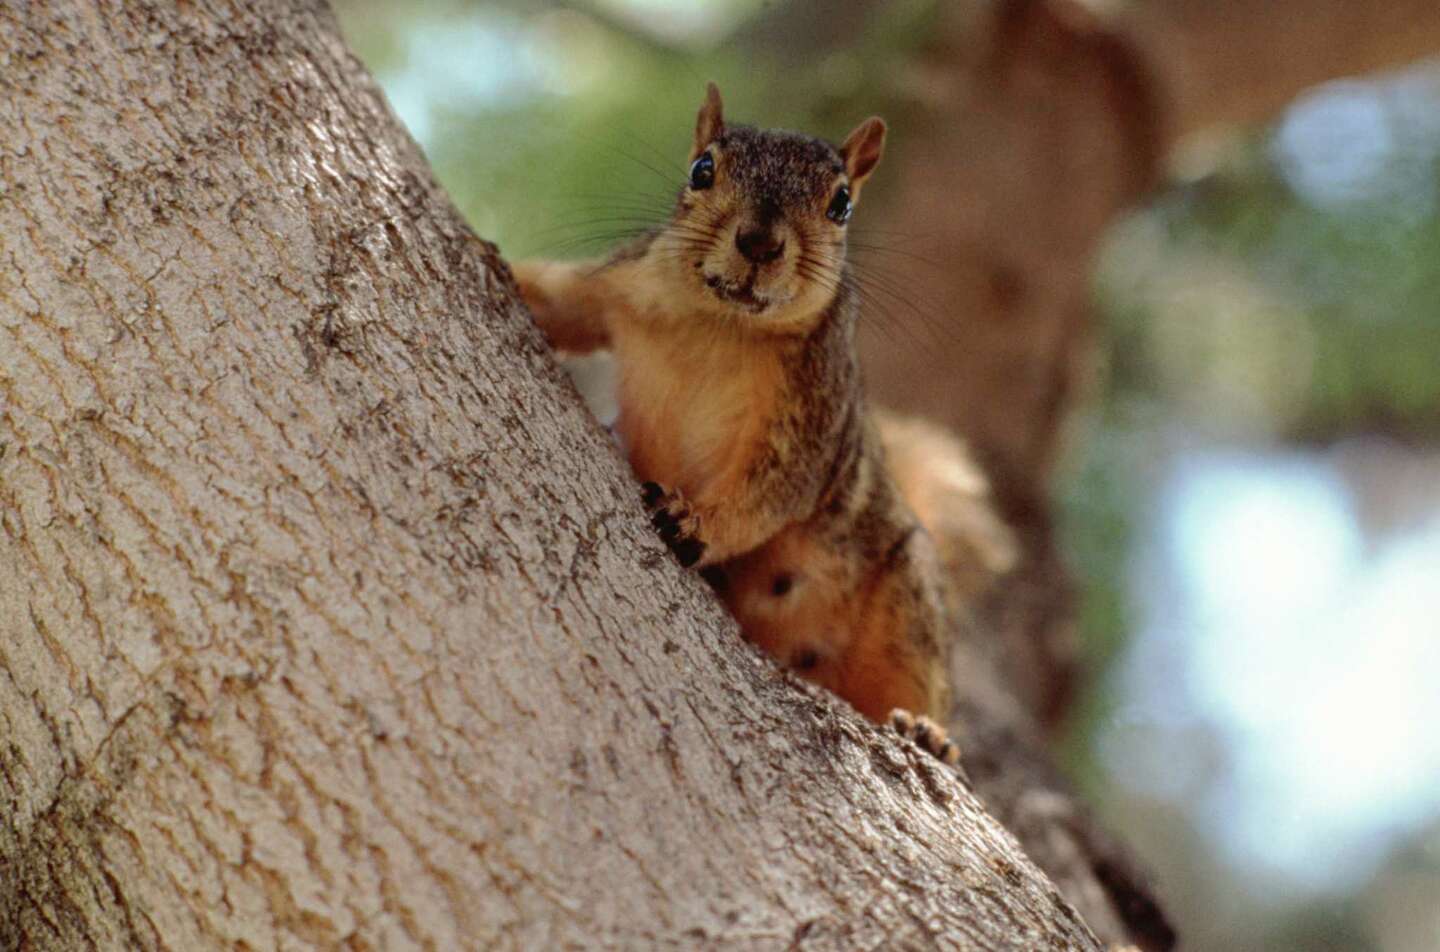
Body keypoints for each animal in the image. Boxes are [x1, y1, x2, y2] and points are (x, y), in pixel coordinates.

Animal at [513, 83, 1003, 765]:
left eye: (841, 203)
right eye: (702, 169)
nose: (761, 243)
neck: (721, 326)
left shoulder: (811, 415)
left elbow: (771, 492)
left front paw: (694, 522)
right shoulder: (618, 287)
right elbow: (560, 303)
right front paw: (495, 260)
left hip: (910, 599)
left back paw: (927, 732)